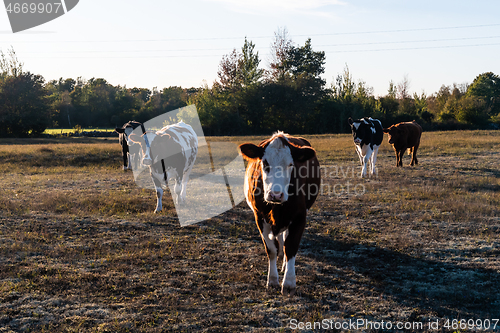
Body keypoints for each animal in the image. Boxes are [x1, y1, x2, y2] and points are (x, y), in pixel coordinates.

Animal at [238, 131, 320, 294]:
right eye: (264, 163)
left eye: (291, 164)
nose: (276, 195)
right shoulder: (259, 217)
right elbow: (271, 249)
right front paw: (273, 279)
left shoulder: (300, 217)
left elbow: (291, 247)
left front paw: (289, 282)